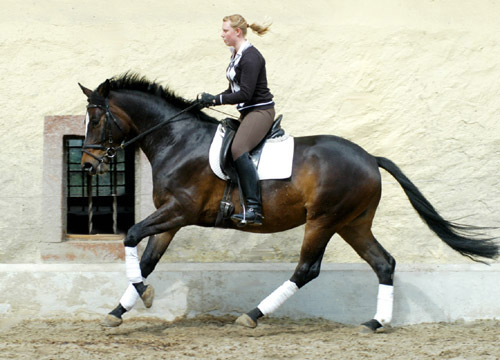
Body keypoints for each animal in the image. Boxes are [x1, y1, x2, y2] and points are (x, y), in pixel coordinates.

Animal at [78, 72, 496, 332]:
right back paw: (375, 323)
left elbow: (131, 235)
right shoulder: (172, 218)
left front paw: (142, 295)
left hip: (323, 220)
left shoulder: (180, 210)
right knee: (384, 263)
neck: (177, 140)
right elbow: (147, 258)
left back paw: (252, 315)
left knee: (306, 269)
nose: (86, 166)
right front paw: (117, 312)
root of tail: (369, 157)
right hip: (353, 223)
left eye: (96, 120)